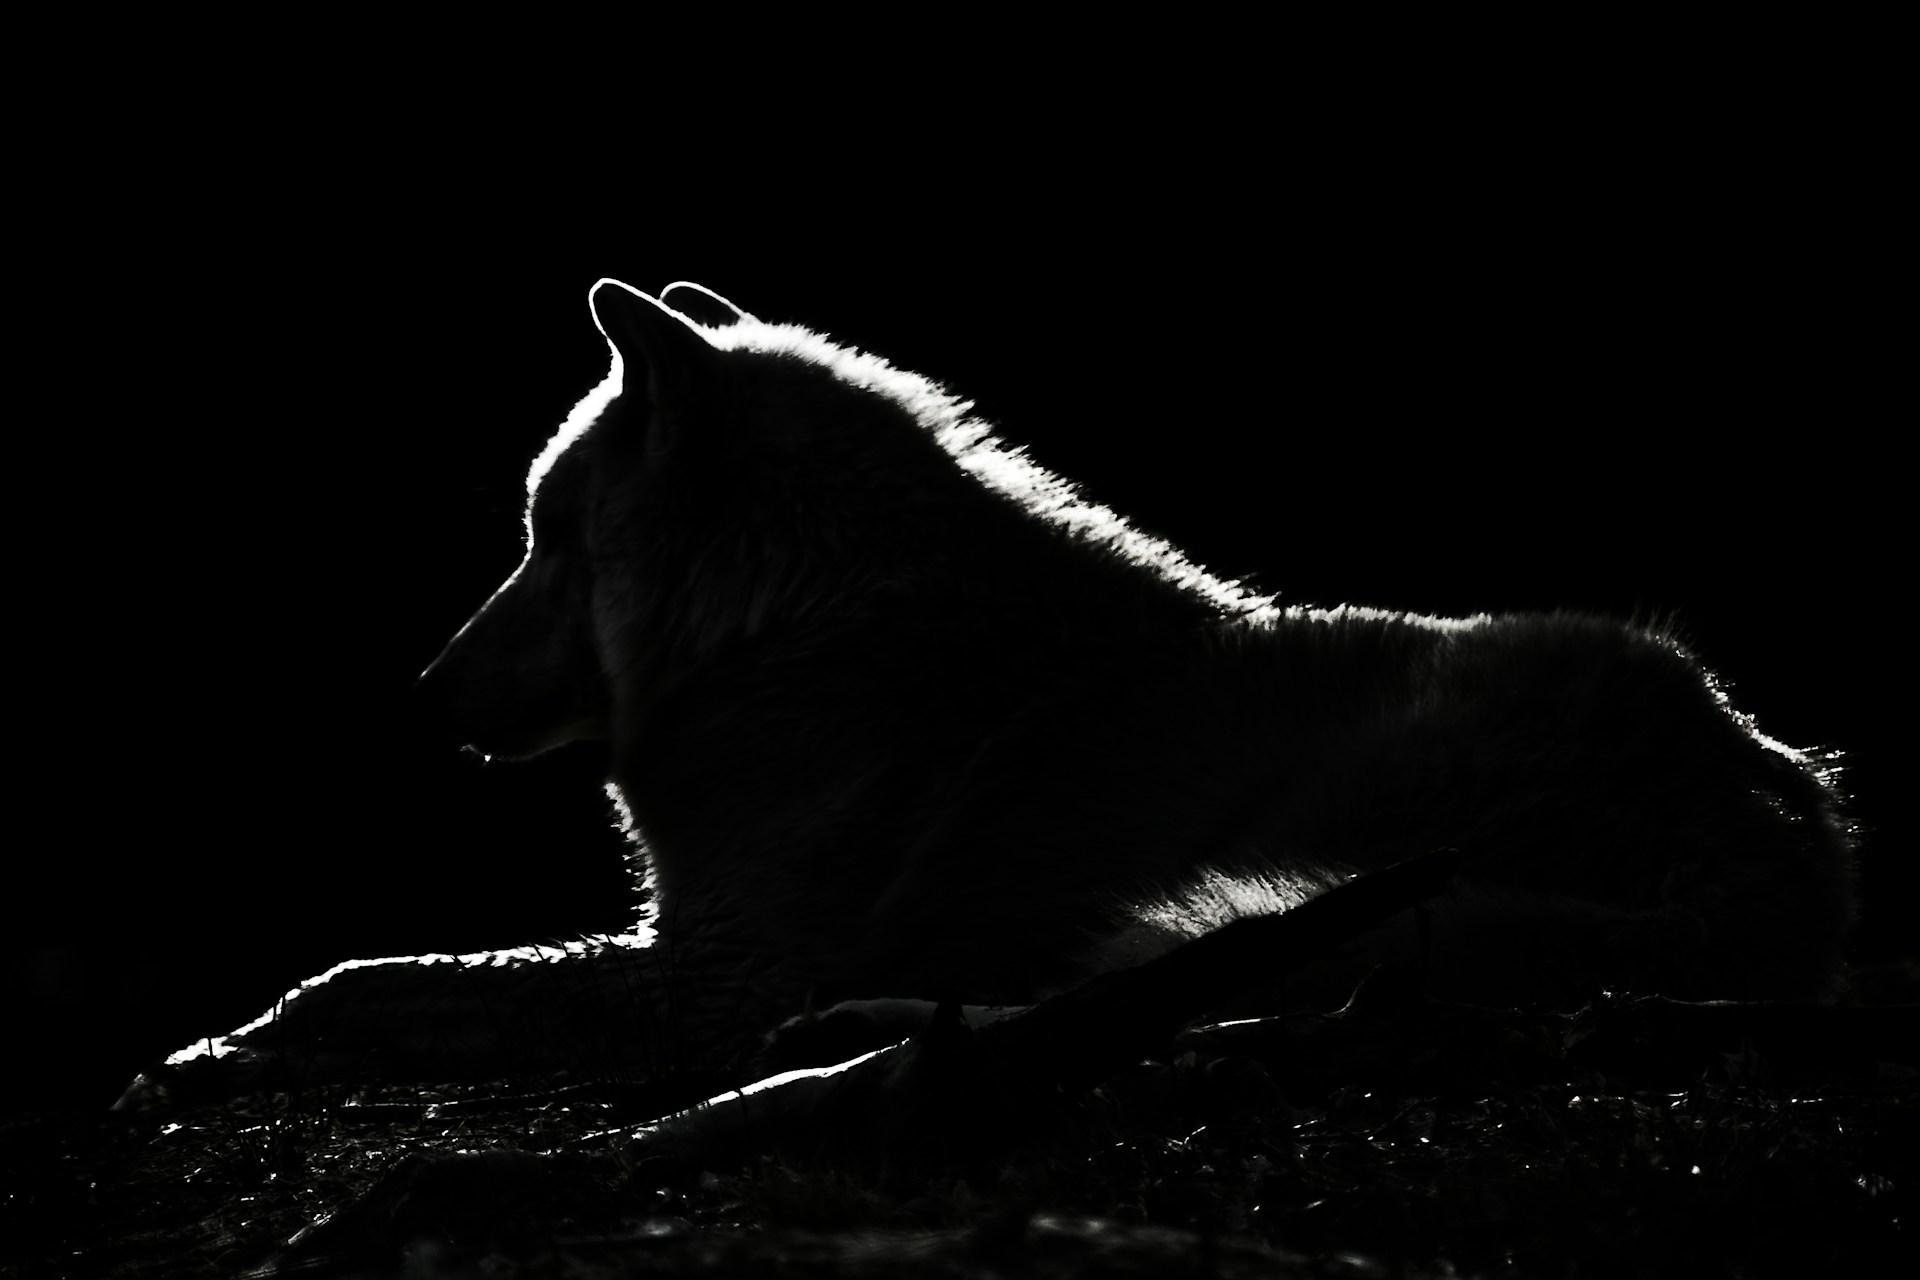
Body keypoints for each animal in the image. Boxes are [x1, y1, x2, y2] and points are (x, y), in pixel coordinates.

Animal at [124, 280, 1855, 1103]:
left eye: (548, 537)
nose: (426, 689)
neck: (791, 637)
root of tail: (1792, 860)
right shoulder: (695, 956)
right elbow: (399, 977)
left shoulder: (712, 970)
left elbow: (385, 981)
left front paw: (227, 1047)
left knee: (1156, 1000)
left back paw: (877, 1039)